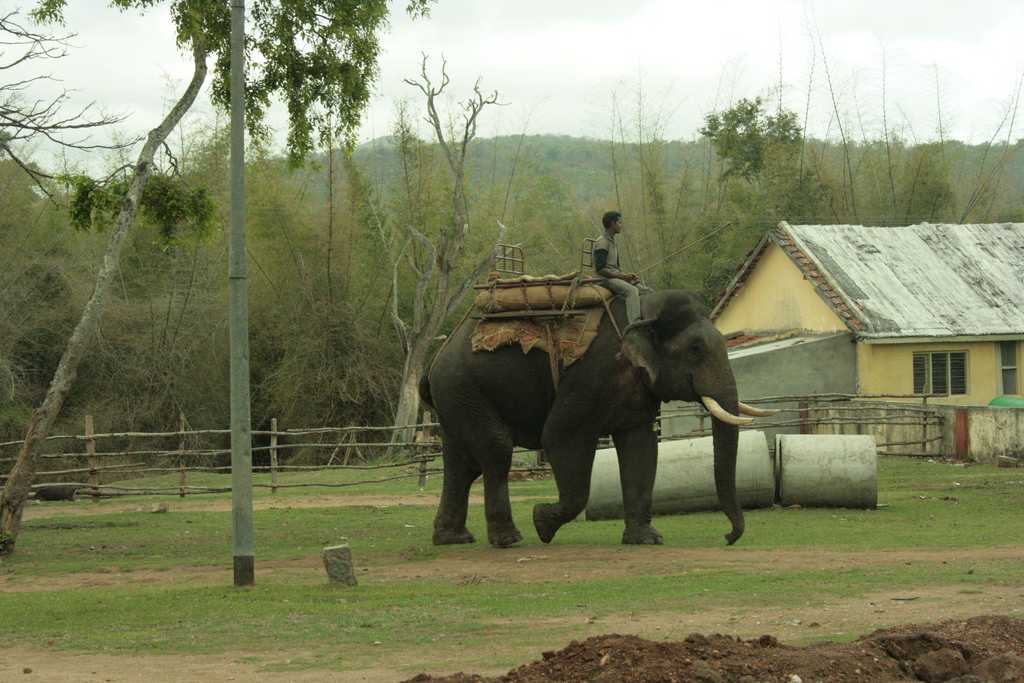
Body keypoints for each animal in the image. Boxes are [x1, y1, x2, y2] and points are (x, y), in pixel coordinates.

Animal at [417, 288, 770, 548]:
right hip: (464, 387)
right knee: (496, 450)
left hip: (457, 398)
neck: (645, 310)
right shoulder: (589, 374)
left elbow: (641, 446)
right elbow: (559, 437)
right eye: (696, 349)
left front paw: (647, 540)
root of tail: (436, 358)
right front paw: (542, 523)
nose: (727, 537)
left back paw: (453, 539)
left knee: (461, 463)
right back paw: (508, 540)